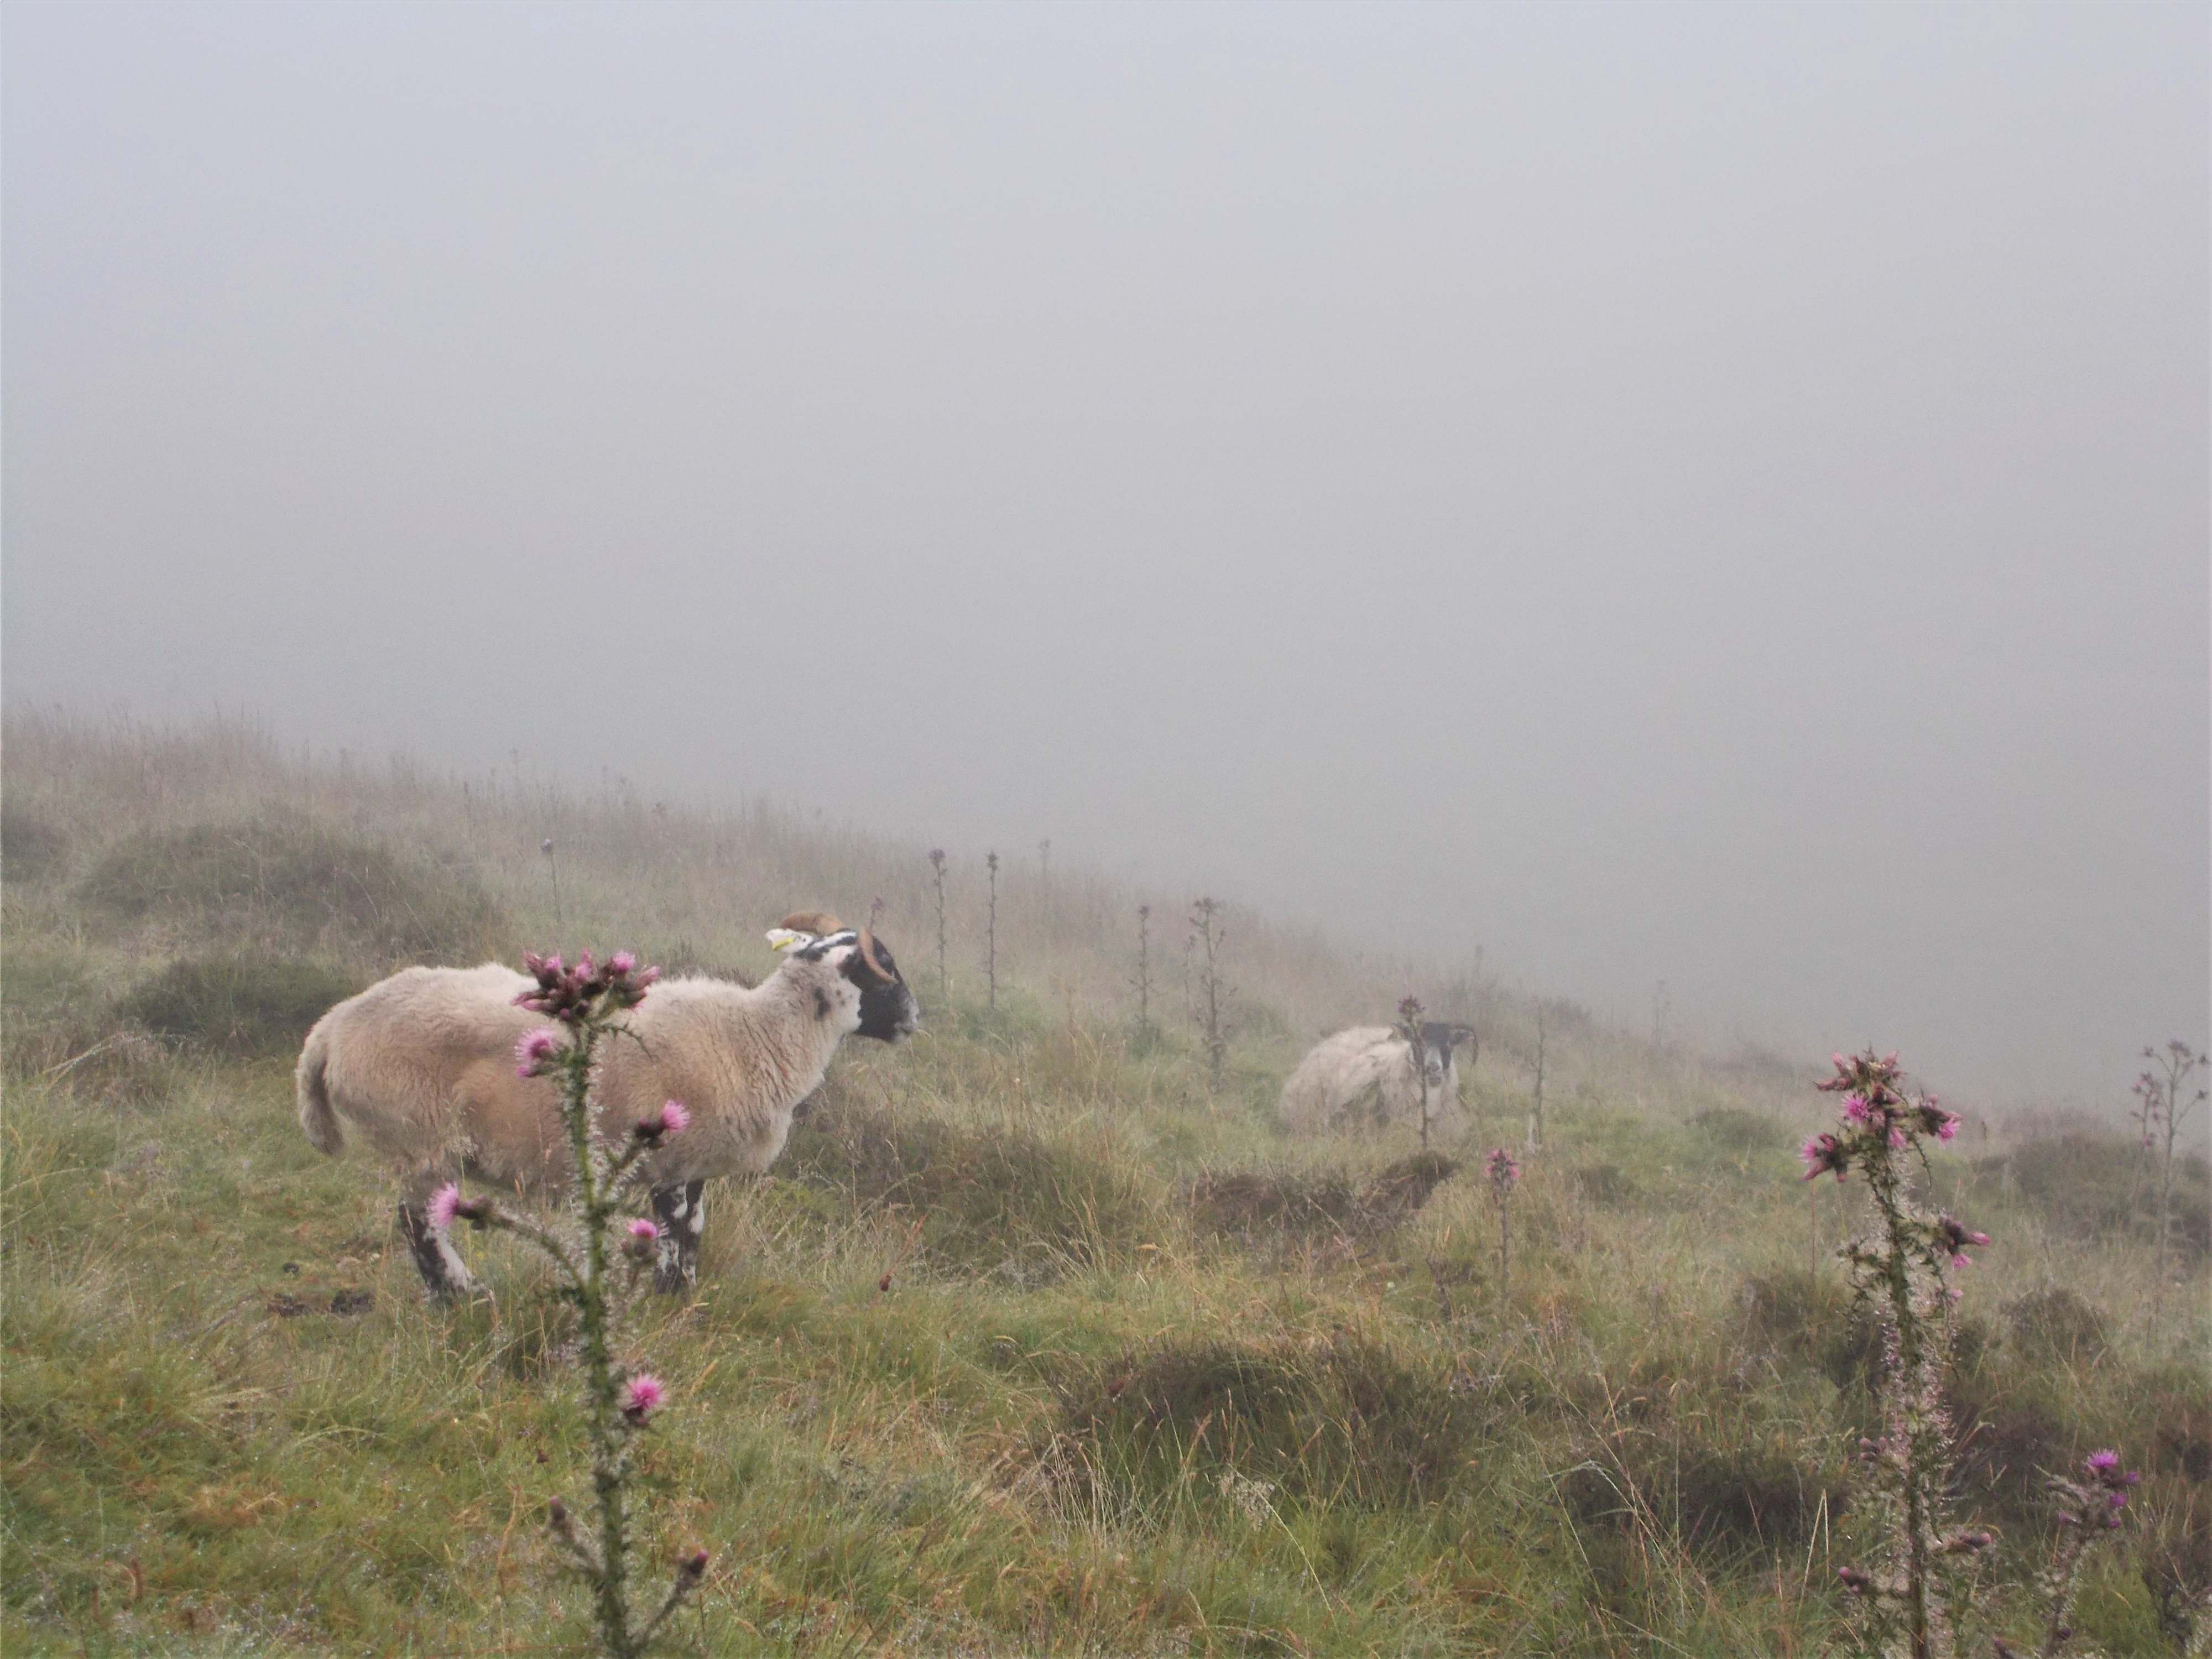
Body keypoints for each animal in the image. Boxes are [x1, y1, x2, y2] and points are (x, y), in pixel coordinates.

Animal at [296, 913, 919, 1299]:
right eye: (884, 966)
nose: (917, 1018)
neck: (756, 1034)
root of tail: (330, 1029)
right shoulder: (670, 1159)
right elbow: (672, 1235)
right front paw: (665, 1297)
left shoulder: (695, 1163)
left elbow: (694, 1232)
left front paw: (683, 1298)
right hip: (417, 1136)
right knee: (419, 1225)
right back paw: (463, 1296)